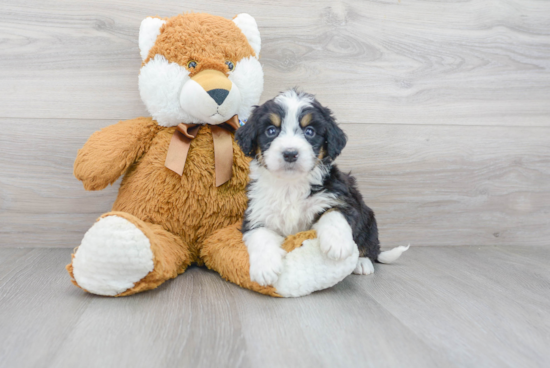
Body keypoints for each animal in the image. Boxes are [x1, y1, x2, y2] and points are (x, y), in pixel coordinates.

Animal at [235, 90, 408, 288]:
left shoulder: (341, 198)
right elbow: (260, 235)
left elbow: (333, 214)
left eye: (309, 131)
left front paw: (337, 243)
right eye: (271, 131)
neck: (290, 186)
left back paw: (362, 262)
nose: (290, 153)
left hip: (369, 220)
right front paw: (265, 268)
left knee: (369, 244)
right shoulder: (257, 212)